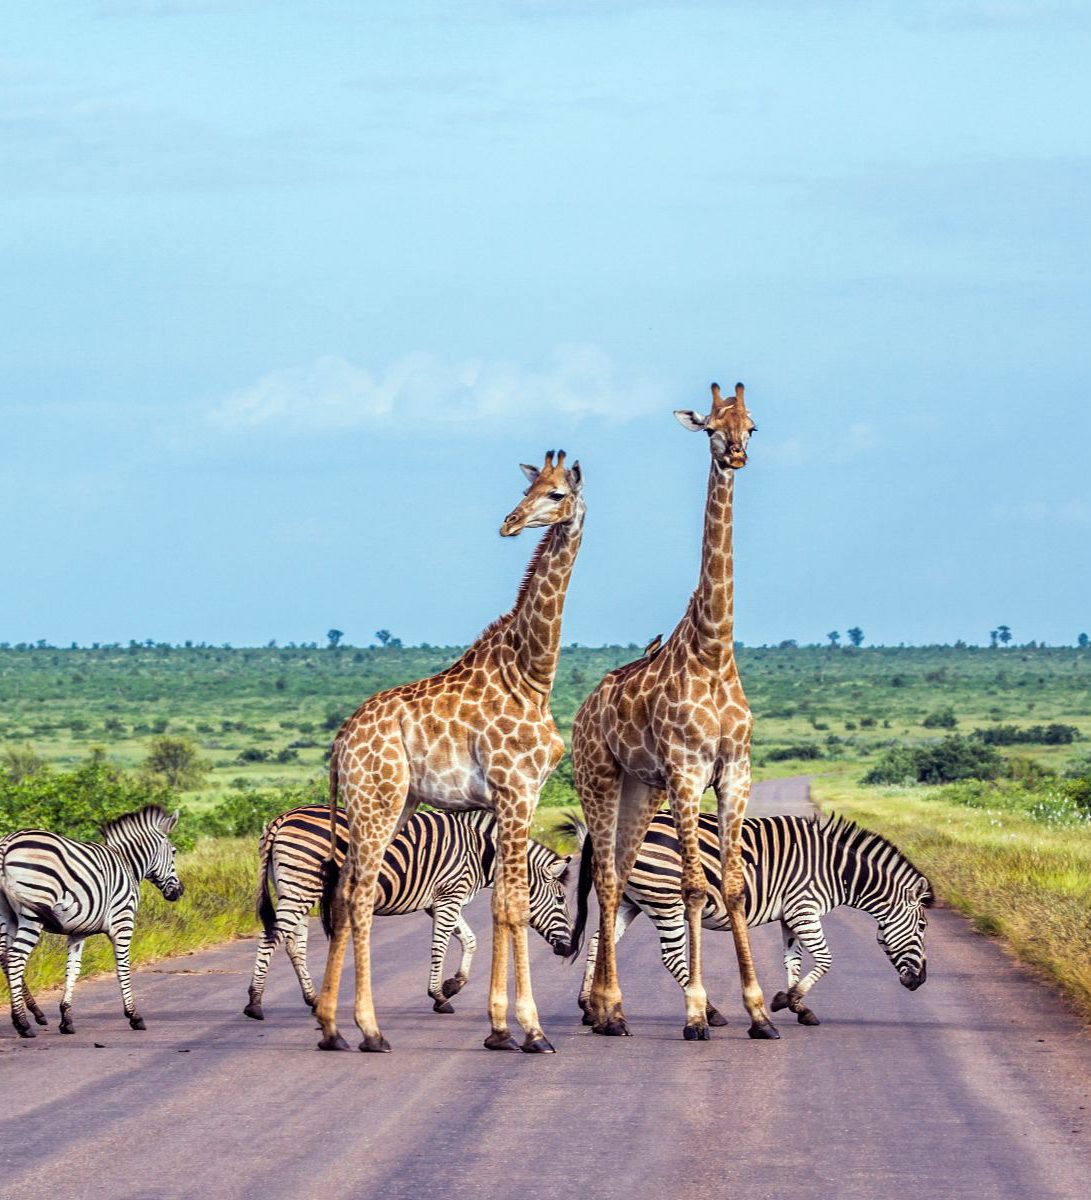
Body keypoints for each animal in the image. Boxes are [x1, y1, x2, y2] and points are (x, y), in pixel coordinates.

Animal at [0, 805, 184, 1038]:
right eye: (174, 852)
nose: (179, 892)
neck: (128, 864)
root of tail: (6, 844)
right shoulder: (123, 921)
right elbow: (123, 966)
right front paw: (134, 1016)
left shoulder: (78, 931)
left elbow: (73, 969)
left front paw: (66, 1019)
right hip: (32, 913)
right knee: (16, 957)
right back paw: (23, 1023)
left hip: (6, 915)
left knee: (5, 957)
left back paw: (33, 1014)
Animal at [244, 805, 573, 1021]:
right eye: (560, 900)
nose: (568, 949)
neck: (481, 853)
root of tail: (283, 818)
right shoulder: (449, 896)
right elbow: (440, 946)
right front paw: (439, 996)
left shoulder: (439, 901)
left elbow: (470, 940)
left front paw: (453, 985)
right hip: (302, 884)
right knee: (271, 936)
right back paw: (255, 1003)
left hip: (297, 887)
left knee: (293, 943)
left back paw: (312, 999)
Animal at [314, 450, 585, 1054]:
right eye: (529, 489)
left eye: (556, 493)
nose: (510, 523)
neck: (533, 676)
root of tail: (340, 743)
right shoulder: (518, 792)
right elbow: (512, 904)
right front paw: (531, 1030)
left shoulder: (512, 799)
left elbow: (502, 904)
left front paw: (500, 1028)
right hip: (378, 800)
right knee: (359, 894)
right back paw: (370, 1030)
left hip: (394, 803)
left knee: (343, 891)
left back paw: (330, 1027)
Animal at [570, 809, 932, 1026]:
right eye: (923, 926)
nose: (920, 981)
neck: (837, 870)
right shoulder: (804, 908)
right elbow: (825, 959)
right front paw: (790, 1000)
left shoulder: (791, 914)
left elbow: (793, 960)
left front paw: (796, 1005)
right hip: (664, 897)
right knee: (671, 957)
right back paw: (711, 1012)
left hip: (629, 900)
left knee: (599, 941)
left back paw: (588, 1007)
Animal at [571, 382, 779, 1042]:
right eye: (711, 426)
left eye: (752, 425)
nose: (736, 454)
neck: (713, 650)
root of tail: (584, 710)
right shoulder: (688, 772)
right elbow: (692, 885)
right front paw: (695, 1012)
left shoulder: (734, 771)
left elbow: (732, 886)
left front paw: (759, 1011)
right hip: (600, 778)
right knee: (608, 879)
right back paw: (609, 1008)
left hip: (643, 789)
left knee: (618, 873)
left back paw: (607, 1009)